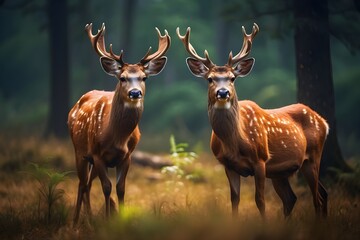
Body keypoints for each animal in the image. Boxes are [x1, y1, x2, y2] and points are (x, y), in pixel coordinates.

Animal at [68, 23, 171, 225]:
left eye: (144, 77)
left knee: (87, 184)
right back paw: (77, 221)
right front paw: (108, 220)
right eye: (122, 78)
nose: (135, 93)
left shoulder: (127, 156)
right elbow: (107, 187)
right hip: (79, 150)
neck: (116, 137)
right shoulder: (98, 154)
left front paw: (122, 220)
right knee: (82, 183)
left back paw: (89, 218)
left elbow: (121, 188)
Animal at [177, 23, 330, 218]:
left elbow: (260, 200)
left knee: (317, 198)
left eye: (232, 78)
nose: (223, 92)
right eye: (210, 79)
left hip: (313, 156)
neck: (235, 142)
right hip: (281, 171)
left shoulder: (261, 160)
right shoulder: (228, 165)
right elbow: (235, 200)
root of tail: (324, 122)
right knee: (298, 197)